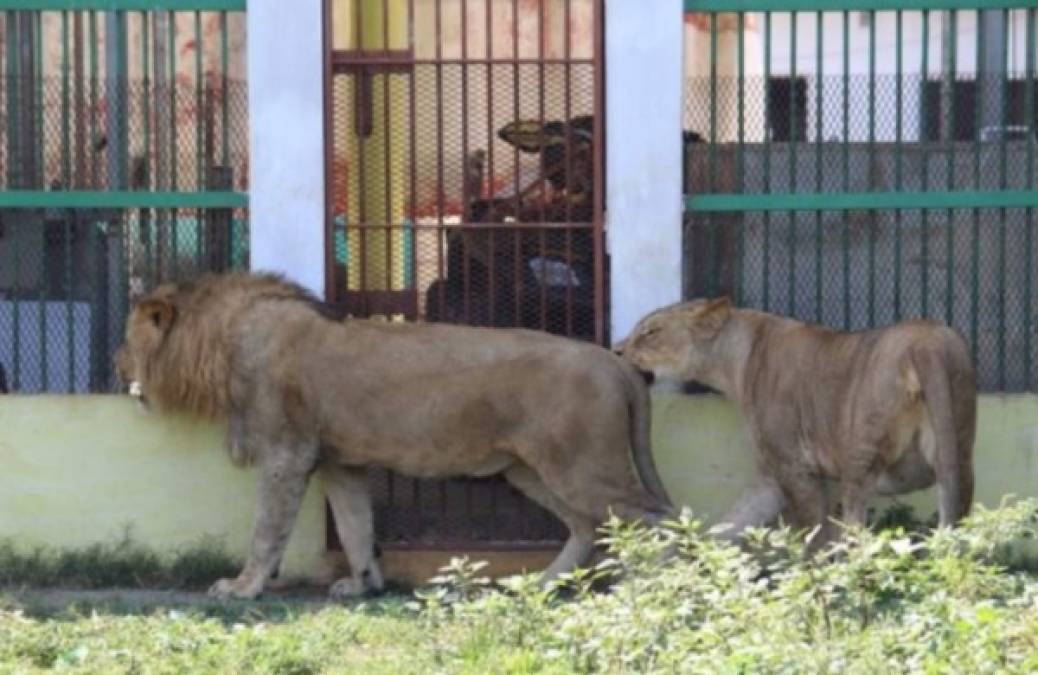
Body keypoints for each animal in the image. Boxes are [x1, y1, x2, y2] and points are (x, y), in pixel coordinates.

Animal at [115, 270, 672, 598]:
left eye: (127, 339)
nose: (117, 365)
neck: (223, 341)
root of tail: (614, 361)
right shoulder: (340, 462)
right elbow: (356, 526)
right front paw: (363, 585)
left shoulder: (286, 453)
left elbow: (267, 531)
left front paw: (242, 587)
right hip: (532, 469)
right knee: (585, 527)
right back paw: (540, 583)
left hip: (583, 467)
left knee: (654, 518)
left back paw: (652, 586)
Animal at [618, 299, 975, 548]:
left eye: (650, 332)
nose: (617, 350)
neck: (737, 358)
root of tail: (927, 344)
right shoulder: (772, 474)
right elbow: (735, 521)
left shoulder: (792, 465)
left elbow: (813, 532)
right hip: (957, 449)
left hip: (860, 456)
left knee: (857, 533)